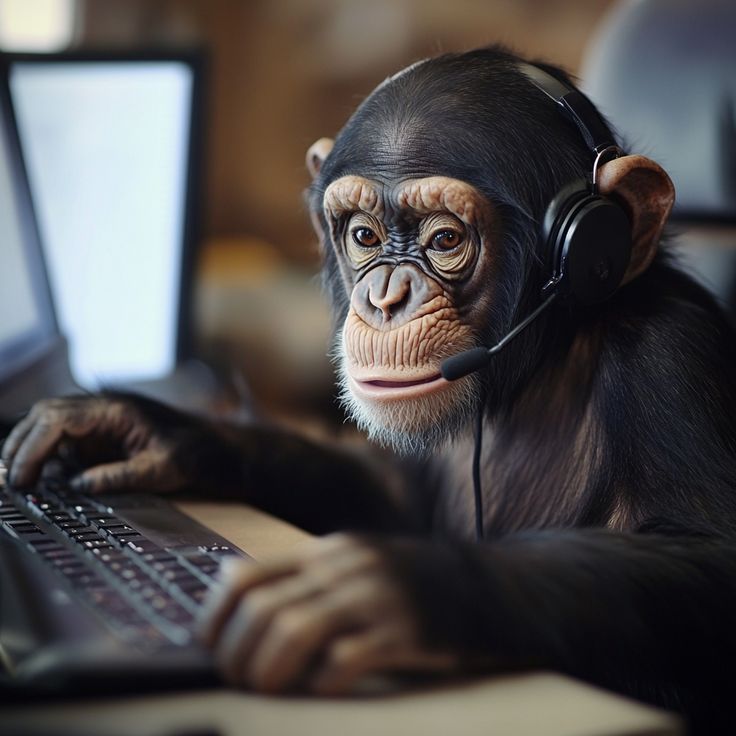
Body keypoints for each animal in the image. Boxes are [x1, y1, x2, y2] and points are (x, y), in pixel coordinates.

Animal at [3, 46, 736, 733]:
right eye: (363, 235)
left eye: (445, 239)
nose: (384, 297)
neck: (532, 373)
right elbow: (388, 494)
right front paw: (152, 429)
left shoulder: (669, 358)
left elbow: (711, 560)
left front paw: (397, 590)